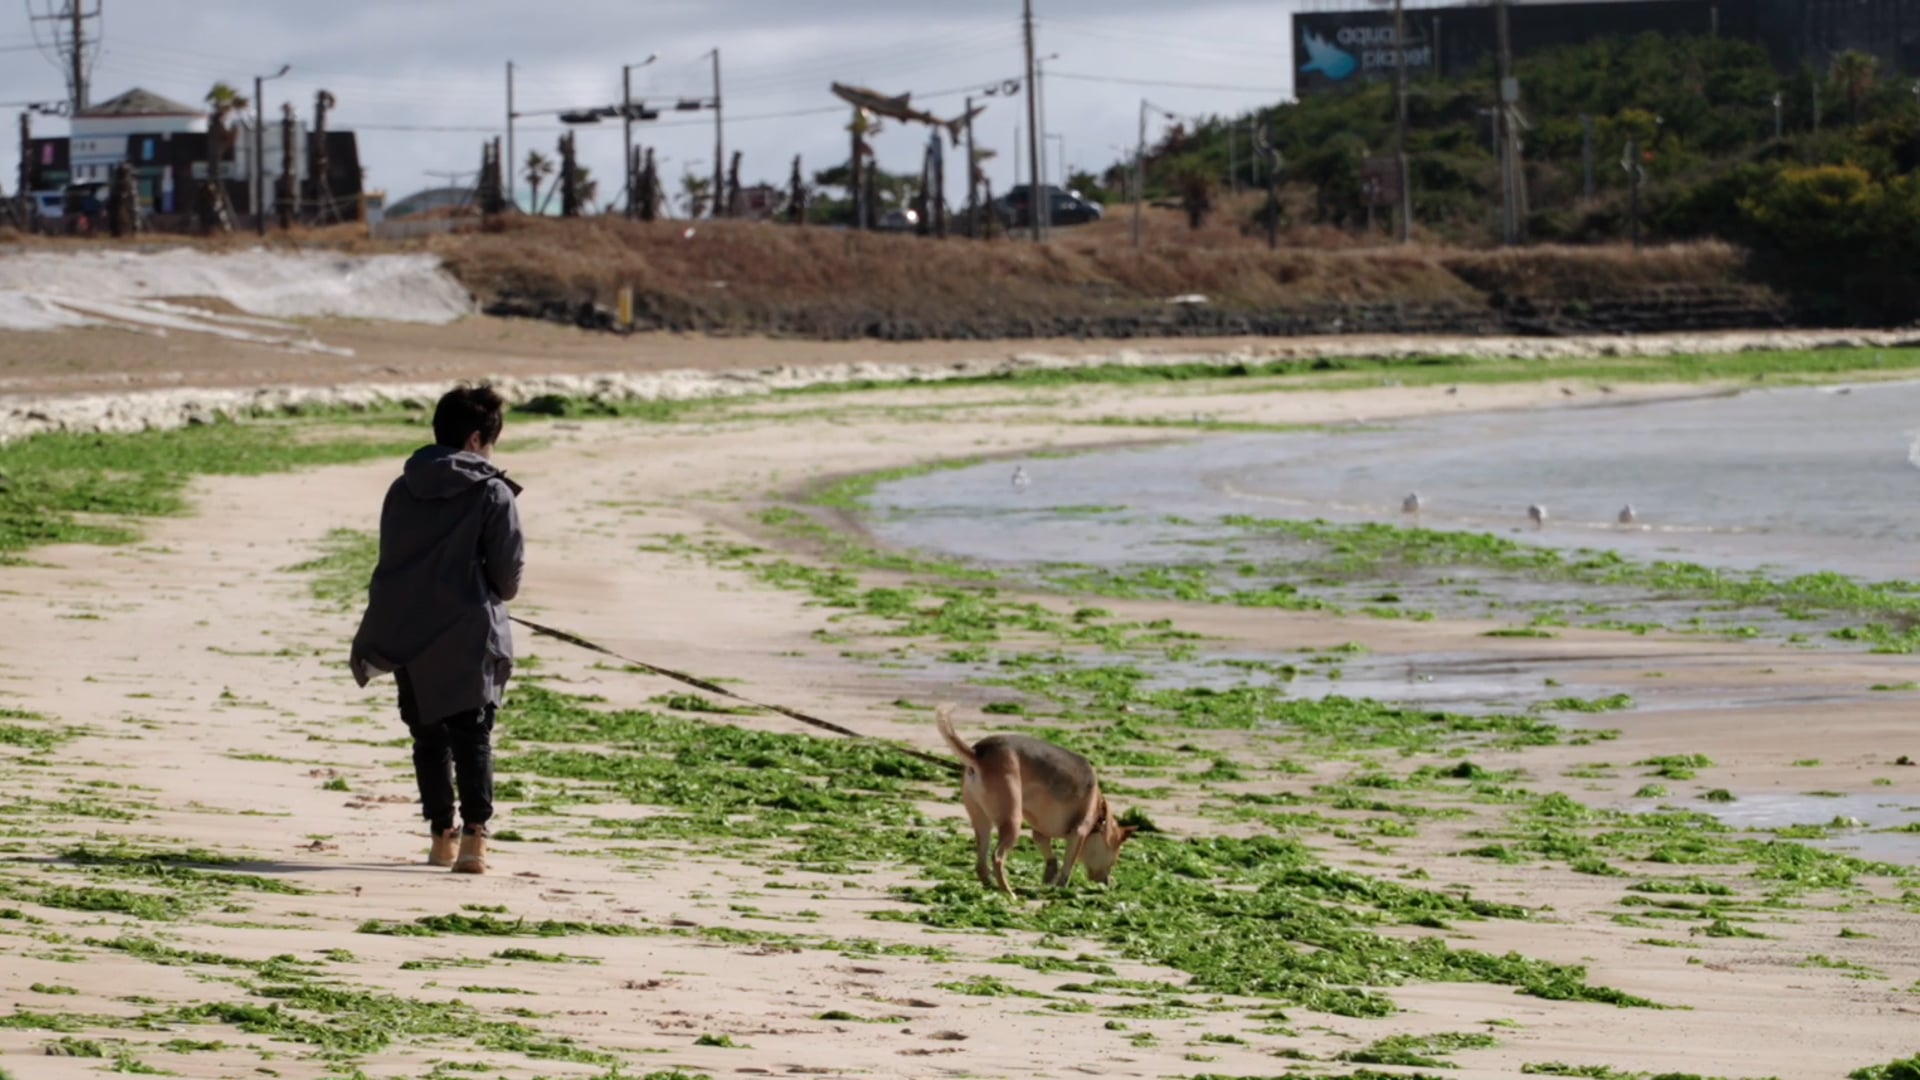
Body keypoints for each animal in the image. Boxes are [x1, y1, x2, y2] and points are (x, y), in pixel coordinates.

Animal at [933, 703, 1128, 895]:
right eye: (1113, 861)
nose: (1109, 883)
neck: (1100, 812)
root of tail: (977, 753)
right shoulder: (1079, 833)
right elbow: (1068, 866)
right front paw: (1061, 886)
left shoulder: (1040, 833)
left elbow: (1050, 855)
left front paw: (1050, 875)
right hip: (1012, 820)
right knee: (997, 857)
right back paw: (1008, 892)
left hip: (982, 821)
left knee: (981, 863)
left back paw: (991, 886)